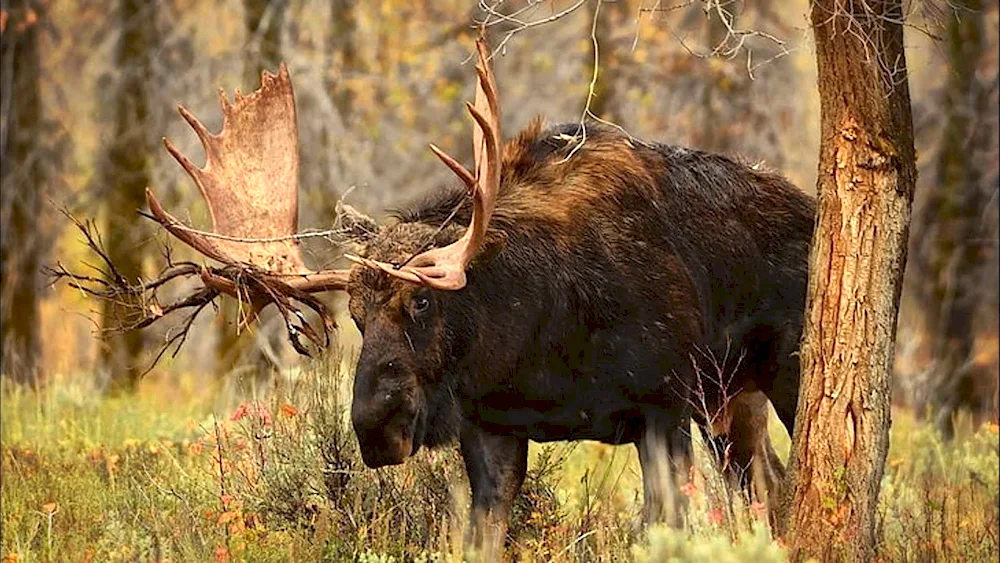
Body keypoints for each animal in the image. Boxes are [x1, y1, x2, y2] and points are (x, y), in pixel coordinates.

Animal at [90, 37, 816, 556]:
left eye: (421, 302)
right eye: (356, 316)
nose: (375, 427)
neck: (539, 342)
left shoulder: (661, 407)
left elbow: (662, 528)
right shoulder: (492, 428)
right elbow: (481, 537)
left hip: (779, 375)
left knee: (778, 484)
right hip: (732, 401)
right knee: (773, 485)